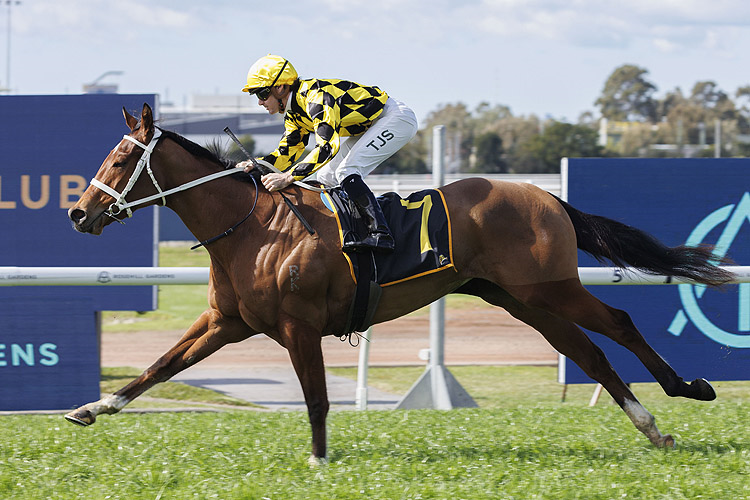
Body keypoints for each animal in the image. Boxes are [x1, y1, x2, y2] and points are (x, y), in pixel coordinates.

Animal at [64, 104, 736, 464]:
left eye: (120, 159)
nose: (78, 213)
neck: (253, 225)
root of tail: (546, 195)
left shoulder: (297, 325)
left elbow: (315, 397)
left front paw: (319, 459)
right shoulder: (227, 322)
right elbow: (158, 367)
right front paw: (91, 408)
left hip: (550, 288)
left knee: (617, 324)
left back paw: (688, 389)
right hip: (522, 300)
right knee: (588, 352)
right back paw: (651, 426)